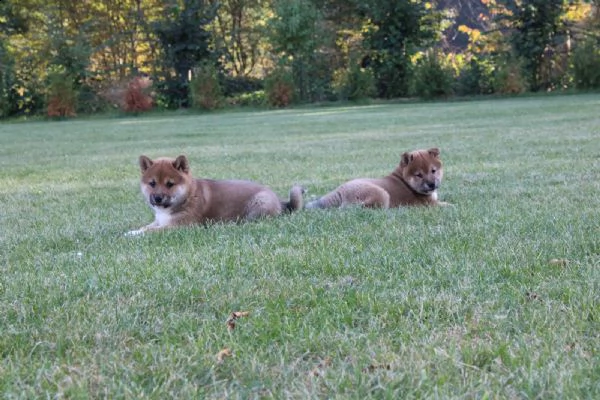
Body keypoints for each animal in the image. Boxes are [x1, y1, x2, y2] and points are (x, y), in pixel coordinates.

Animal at [127, 153, 304, 234]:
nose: (157, 198)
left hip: (259, 204)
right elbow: (146, 227)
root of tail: (281, 202)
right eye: (152, 183)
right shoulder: (160, 221)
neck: (187, 197)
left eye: (170, 184)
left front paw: (133, 235)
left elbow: (150, 231)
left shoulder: (180, 226)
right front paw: (133, 231)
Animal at [308, 147, 442, 209]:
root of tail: (339, 190)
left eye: (433, 171)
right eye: (418, 175)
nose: (431, 184)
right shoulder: (430, 204)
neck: (405, 181)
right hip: (381, 194)